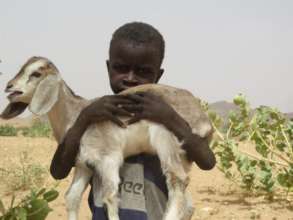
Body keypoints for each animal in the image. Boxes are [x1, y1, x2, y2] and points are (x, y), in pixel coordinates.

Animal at [1, 57, 212, 220]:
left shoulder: (109, 159)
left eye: (36, 73)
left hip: (166, 141)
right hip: (183, 157)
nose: (9, 87)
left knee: (177, 181)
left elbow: (109, 197)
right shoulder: (83, 165)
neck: (75, 114)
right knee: (188, 202)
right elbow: (72, 197)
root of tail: (202, 117)